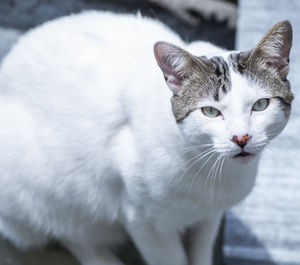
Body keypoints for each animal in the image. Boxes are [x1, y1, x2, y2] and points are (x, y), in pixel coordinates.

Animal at [0, 11, 292, 264]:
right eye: (210, 111)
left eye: (260, 105)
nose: (241, 137)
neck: (211, 170)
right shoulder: (144, 222)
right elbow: (171, 259)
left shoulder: (209, 217)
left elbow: (200, 254)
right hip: (44, 191)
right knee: (69, 230)